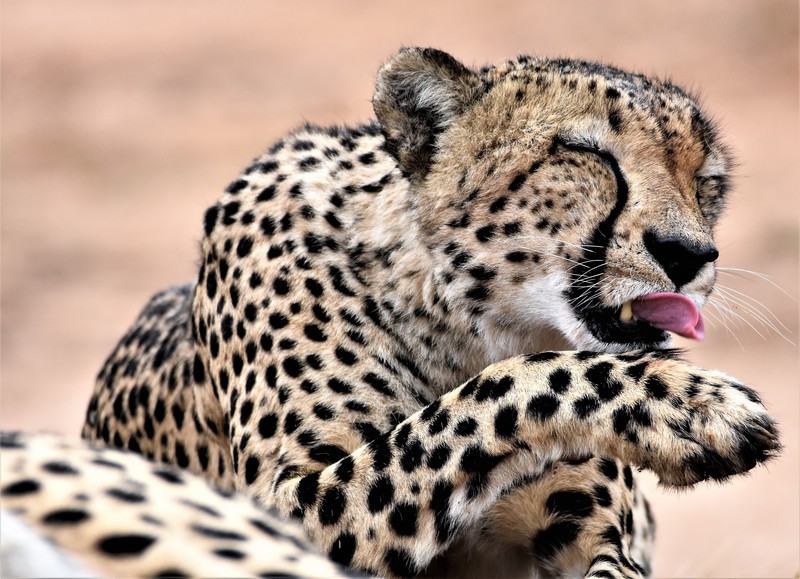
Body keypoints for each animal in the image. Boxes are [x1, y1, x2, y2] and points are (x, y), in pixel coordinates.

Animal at [0, 47, 780, 578]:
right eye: (584, 152)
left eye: (707, 179)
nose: (689, 254)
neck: (459, 320)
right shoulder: (291, 502)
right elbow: (492, 395)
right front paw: (694, 406)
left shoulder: (591, 543)